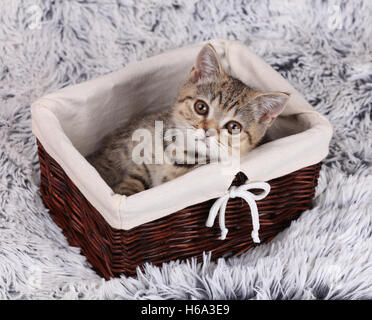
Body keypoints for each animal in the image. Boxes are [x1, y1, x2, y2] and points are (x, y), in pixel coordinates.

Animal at [87, 44, 290, 195]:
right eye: (201, 107)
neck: (179, 153)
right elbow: (132, 179)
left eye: (233, 127)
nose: (207, 131)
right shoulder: (140, 157)